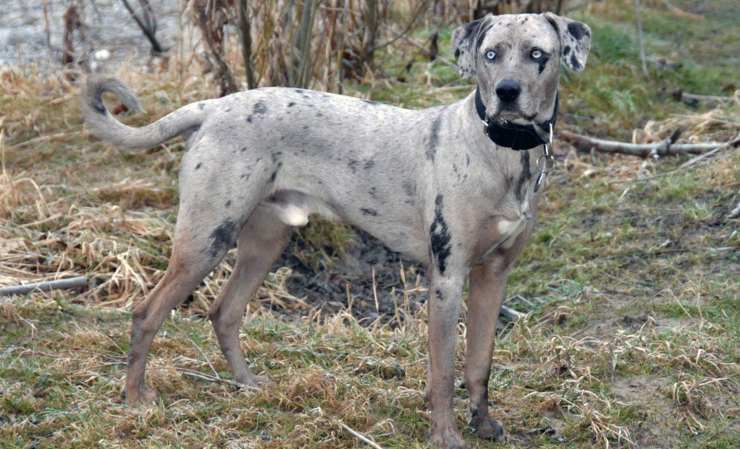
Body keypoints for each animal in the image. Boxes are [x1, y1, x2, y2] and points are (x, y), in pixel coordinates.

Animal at [81, 12, 588, 446]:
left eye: (538, 54)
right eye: (491, 54)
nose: (506, 92)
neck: (502, 153)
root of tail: (214, 106)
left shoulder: (493, 277)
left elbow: (480, 363)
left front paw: (483, 424)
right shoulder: (447, 277)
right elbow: (443, 371)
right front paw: (445, 437)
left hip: (264, 241)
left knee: (224, 312)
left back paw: (249, 385)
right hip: (205, 239)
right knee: (146, 313)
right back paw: (136, 399)